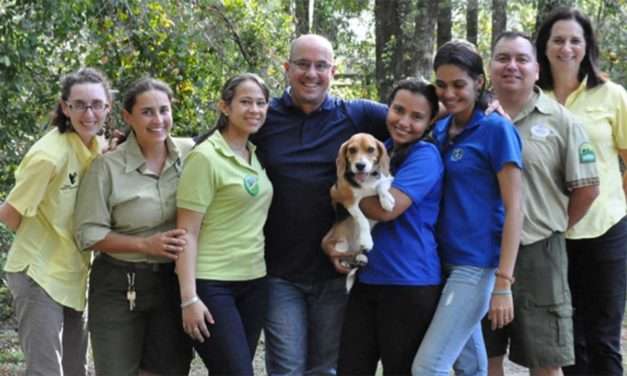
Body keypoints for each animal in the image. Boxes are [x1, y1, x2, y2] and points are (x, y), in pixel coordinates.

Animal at [326, 134, 394, 274]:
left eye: (371, 149)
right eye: (352, 150)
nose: (360, 165)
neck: (366, 179)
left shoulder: (388, 178)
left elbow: (381, 185)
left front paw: (387, 200)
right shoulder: (348, 201)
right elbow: (362, 219)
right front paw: (367, 240)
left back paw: (360, 258)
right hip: (340, 244)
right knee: (343, 254)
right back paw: (347, 261)